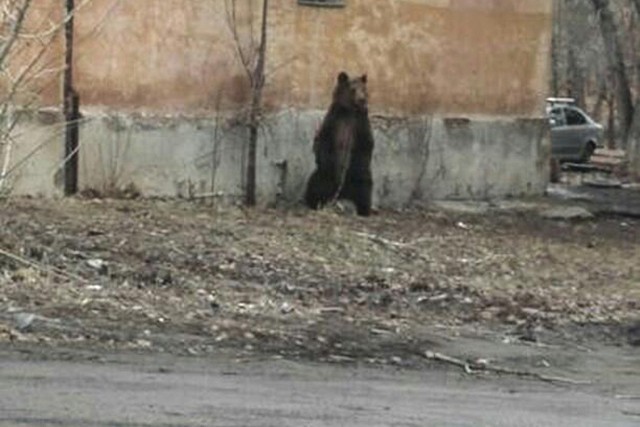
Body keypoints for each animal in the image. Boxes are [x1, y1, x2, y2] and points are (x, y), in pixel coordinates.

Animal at [304, 72, 376, 217]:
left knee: (364, 190)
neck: (349, 111)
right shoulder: (334, 121)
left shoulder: (360, 124)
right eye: (353, 89)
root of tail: (341, 193)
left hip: (360, 179)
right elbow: (322, 141)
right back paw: (313, 203)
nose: (362, 99)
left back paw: (364, 210)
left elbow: (366, 144)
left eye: (364, 89)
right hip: (323, 177)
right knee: (315, 185)